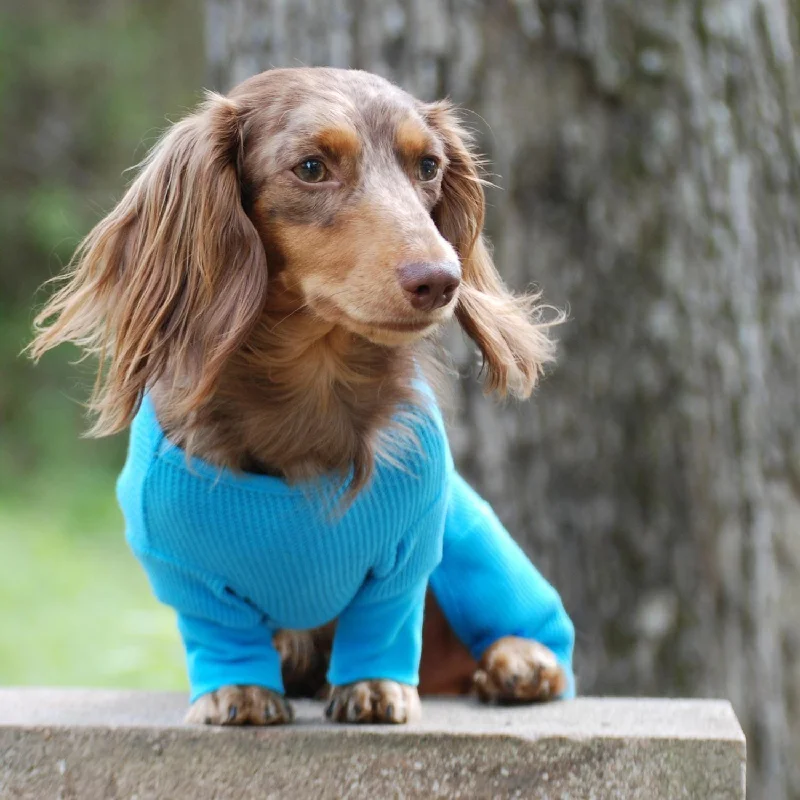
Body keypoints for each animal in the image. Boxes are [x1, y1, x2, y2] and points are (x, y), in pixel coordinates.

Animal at [31, 69, 576, 724]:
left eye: (428, 166)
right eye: (312, 167)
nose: (442, 280)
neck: (311, 386)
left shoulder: (408, 550)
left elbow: (385, 622)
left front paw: (375, 687)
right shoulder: (184, 569)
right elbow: (219, 633)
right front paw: (238, 692)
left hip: (475, 545)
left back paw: (520, 660)